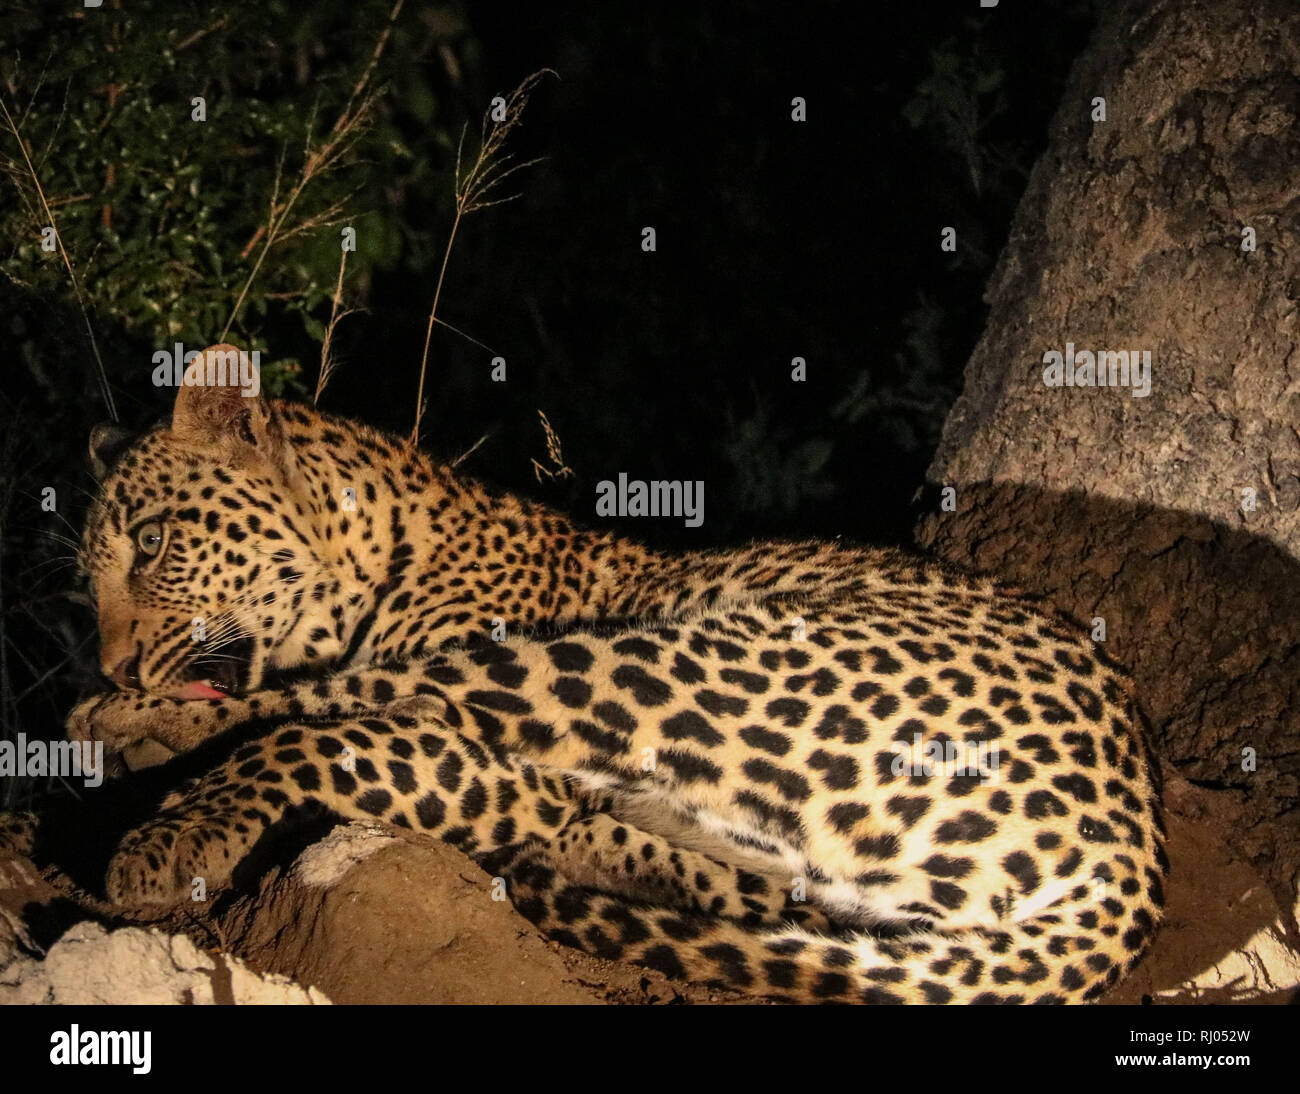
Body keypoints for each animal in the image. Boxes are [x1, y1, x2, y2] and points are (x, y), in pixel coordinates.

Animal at [53, 343, 1166, 1004]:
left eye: (151, 543)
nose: (115, 656)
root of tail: (1139, 860)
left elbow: (322, 712)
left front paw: (149, 764)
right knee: (759, 890)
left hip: (670, 657)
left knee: (341, 718)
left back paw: (147, 780)